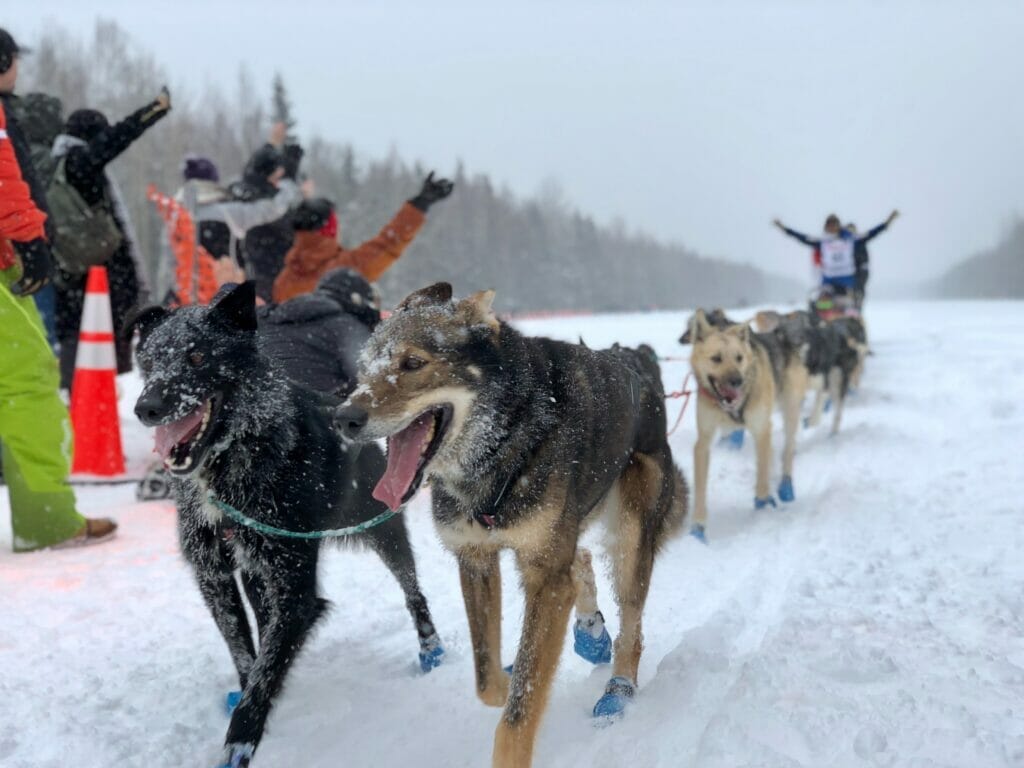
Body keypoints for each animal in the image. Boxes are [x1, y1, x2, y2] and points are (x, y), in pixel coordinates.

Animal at [124, 284, 444, 768]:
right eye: (150, 358)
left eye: (197, 356)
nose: (147, 407)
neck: (226, 469)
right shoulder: (215, 577)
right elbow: (247, 655)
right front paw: (251, 690)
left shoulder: (296, 593)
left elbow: (266, 669)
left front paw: (240, 741)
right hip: (259, 571)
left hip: (382, 531)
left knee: (412, 588)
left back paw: (431, 648)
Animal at [335, 282, 688, 768]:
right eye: (365, 368)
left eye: (413, 363)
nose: (343, 418)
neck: (503, 444)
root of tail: (638, 364)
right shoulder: (476, 559)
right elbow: (488, 678)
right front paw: (505, 680)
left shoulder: (543, 577)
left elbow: (520, 710)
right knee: (579, 559)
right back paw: (590, 632)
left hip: (631, 535)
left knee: (631, 625)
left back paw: (617, 689)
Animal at [688, 307, 806, 540]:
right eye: (716, 358)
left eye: (739, 358)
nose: (737, 381)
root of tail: (779, 335)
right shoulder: (703, 442)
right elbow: (700, 488)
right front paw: (698, 527)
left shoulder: (762, 430)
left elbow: (762, 474)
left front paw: (762, 505)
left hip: (790, 412)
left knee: (787, 450)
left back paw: (785, 486)